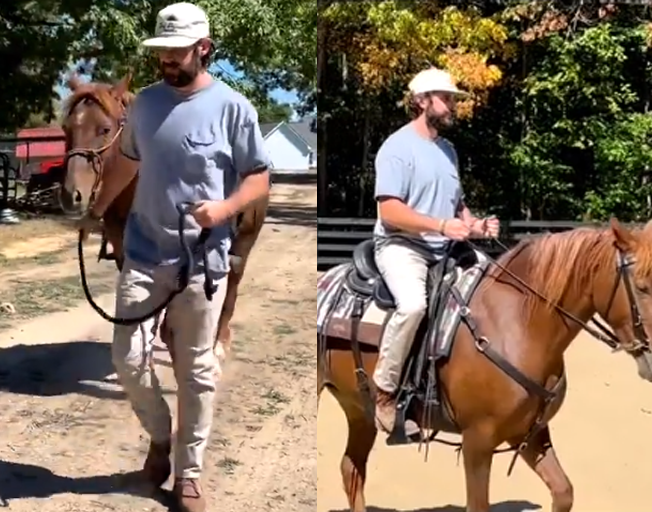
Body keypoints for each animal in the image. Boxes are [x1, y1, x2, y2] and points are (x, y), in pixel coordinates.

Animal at [58, 76, 268, 362]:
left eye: (104, 128)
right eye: (66, 128)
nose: (71, 195)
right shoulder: (127, 254)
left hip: (244, 242)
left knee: (232, 285)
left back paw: (219, 343)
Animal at [318, 220, 652, 512]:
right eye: (642, 287)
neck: (518, 324)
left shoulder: (530, 433)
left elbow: (563, 492)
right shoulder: (477, 440)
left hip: (359, 411)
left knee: (352, 469)